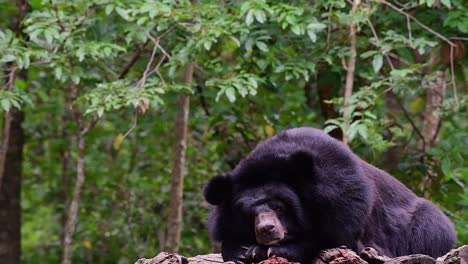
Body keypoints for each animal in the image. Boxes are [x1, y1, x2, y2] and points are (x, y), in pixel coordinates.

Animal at [203, 127, 456, 262]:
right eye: (248, 214)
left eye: (278, 206)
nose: (267, 230)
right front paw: (241, 251)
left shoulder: (346, 198)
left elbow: (334, 238)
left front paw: (264, 250)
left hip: (426, 226)